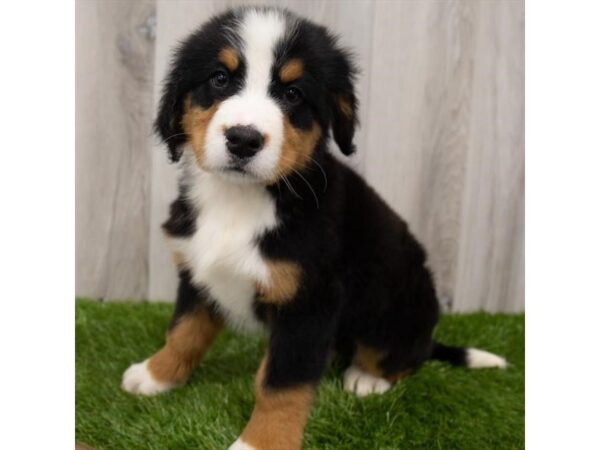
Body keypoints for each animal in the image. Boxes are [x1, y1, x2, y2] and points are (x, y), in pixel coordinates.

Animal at [122, 7, 506, 450]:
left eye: (293, 94)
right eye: (219, 78)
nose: (243, 139)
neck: (240, 200)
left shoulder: (309, 302)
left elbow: (282, 384)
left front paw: (261, 442)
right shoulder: (198, 274)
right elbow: (183, 331)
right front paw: (155, 374)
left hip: (396, 305)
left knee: (405, 354)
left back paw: (367, 378)